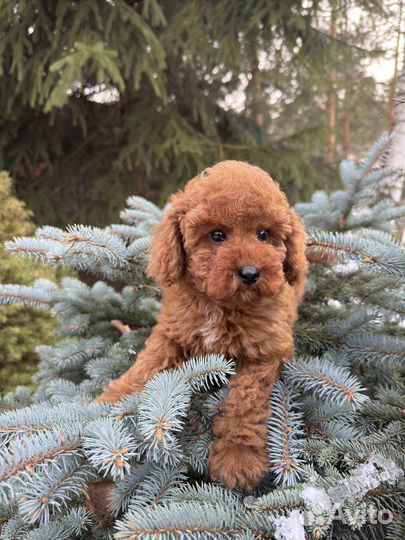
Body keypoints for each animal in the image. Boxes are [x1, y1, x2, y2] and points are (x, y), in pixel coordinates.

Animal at [98, 159, 306, 490]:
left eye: (263, 235)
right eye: (217, 235)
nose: (250, 273)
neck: (220, 305)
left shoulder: (265, 351)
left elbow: (245, 403)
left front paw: (238, 456)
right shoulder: (172, 332)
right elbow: (146, 365)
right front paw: (113, 400)